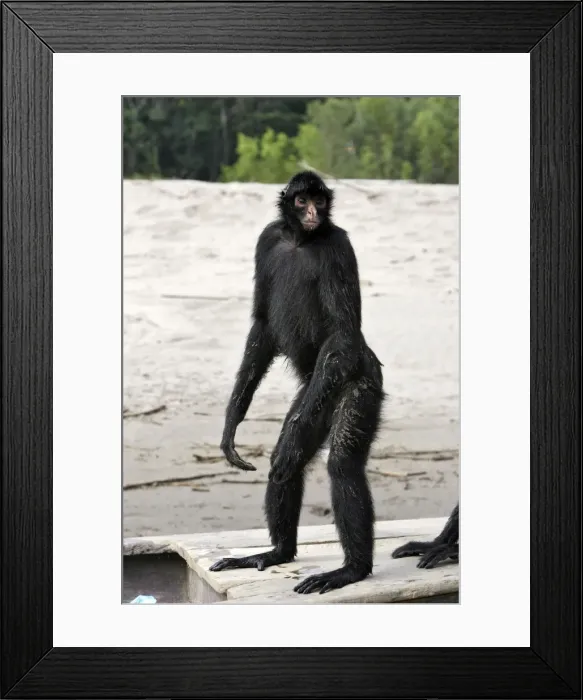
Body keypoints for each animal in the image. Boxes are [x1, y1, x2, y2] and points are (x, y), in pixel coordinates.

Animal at [209, 171, 385, 594]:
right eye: (302, 200)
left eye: (319, 202)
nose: (312, 213)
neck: (300, 241)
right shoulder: (268, 237)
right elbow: (261, 322)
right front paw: (232, 421)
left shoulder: (338, 246)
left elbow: (341, 331)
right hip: (315, 393)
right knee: (285, 459)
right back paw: (277, 553)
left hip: (352, 383)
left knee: (339, 462)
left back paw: (351, 570)